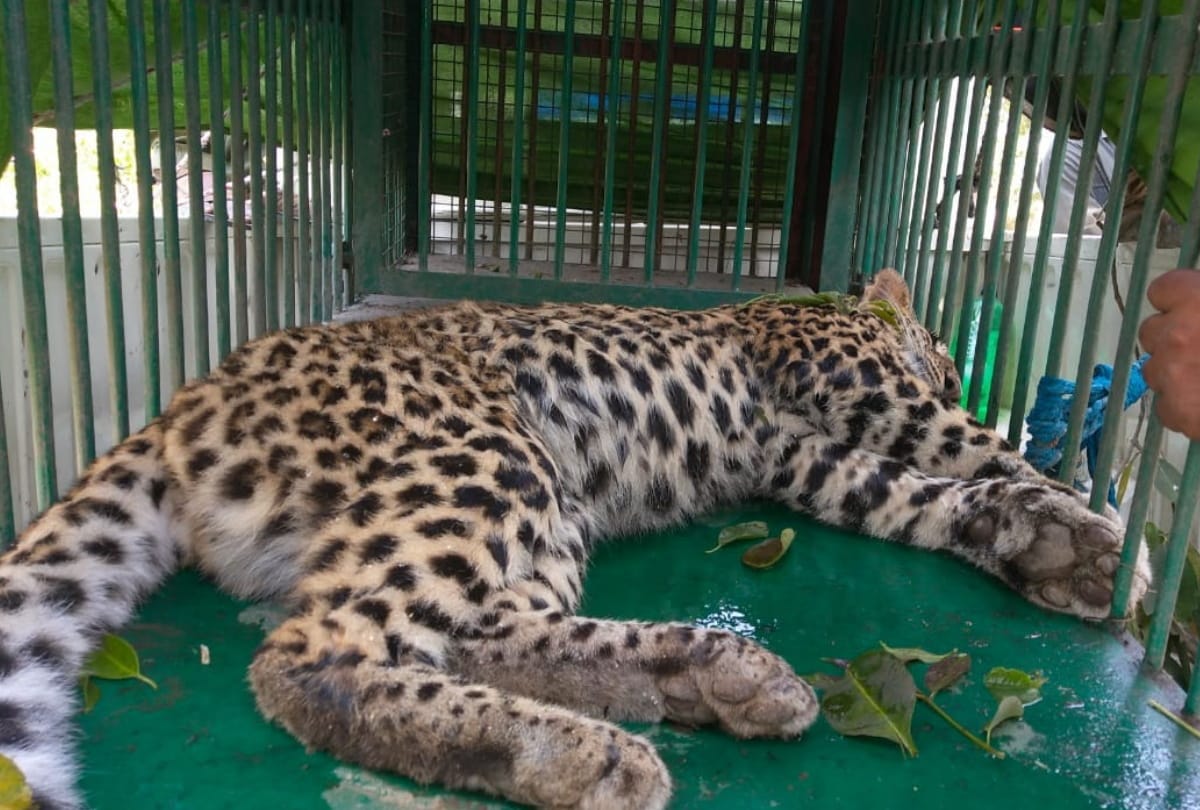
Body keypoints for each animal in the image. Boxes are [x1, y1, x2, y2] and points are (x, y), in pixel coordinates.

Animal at [0, 269, 1150, 809]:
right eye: (945, 350)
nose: (948, 361)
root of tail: (184, 404)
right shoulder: (851, 383)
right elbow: (965, 443)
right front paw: (1095, 529)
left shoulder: (805, 460)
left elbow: (910, 494)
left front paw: (1046, 543)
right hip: (483, 457)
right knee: (320, 655)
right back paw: (580, 748)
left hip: (545, 505)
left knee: (476, 631)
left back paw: (707, 678)